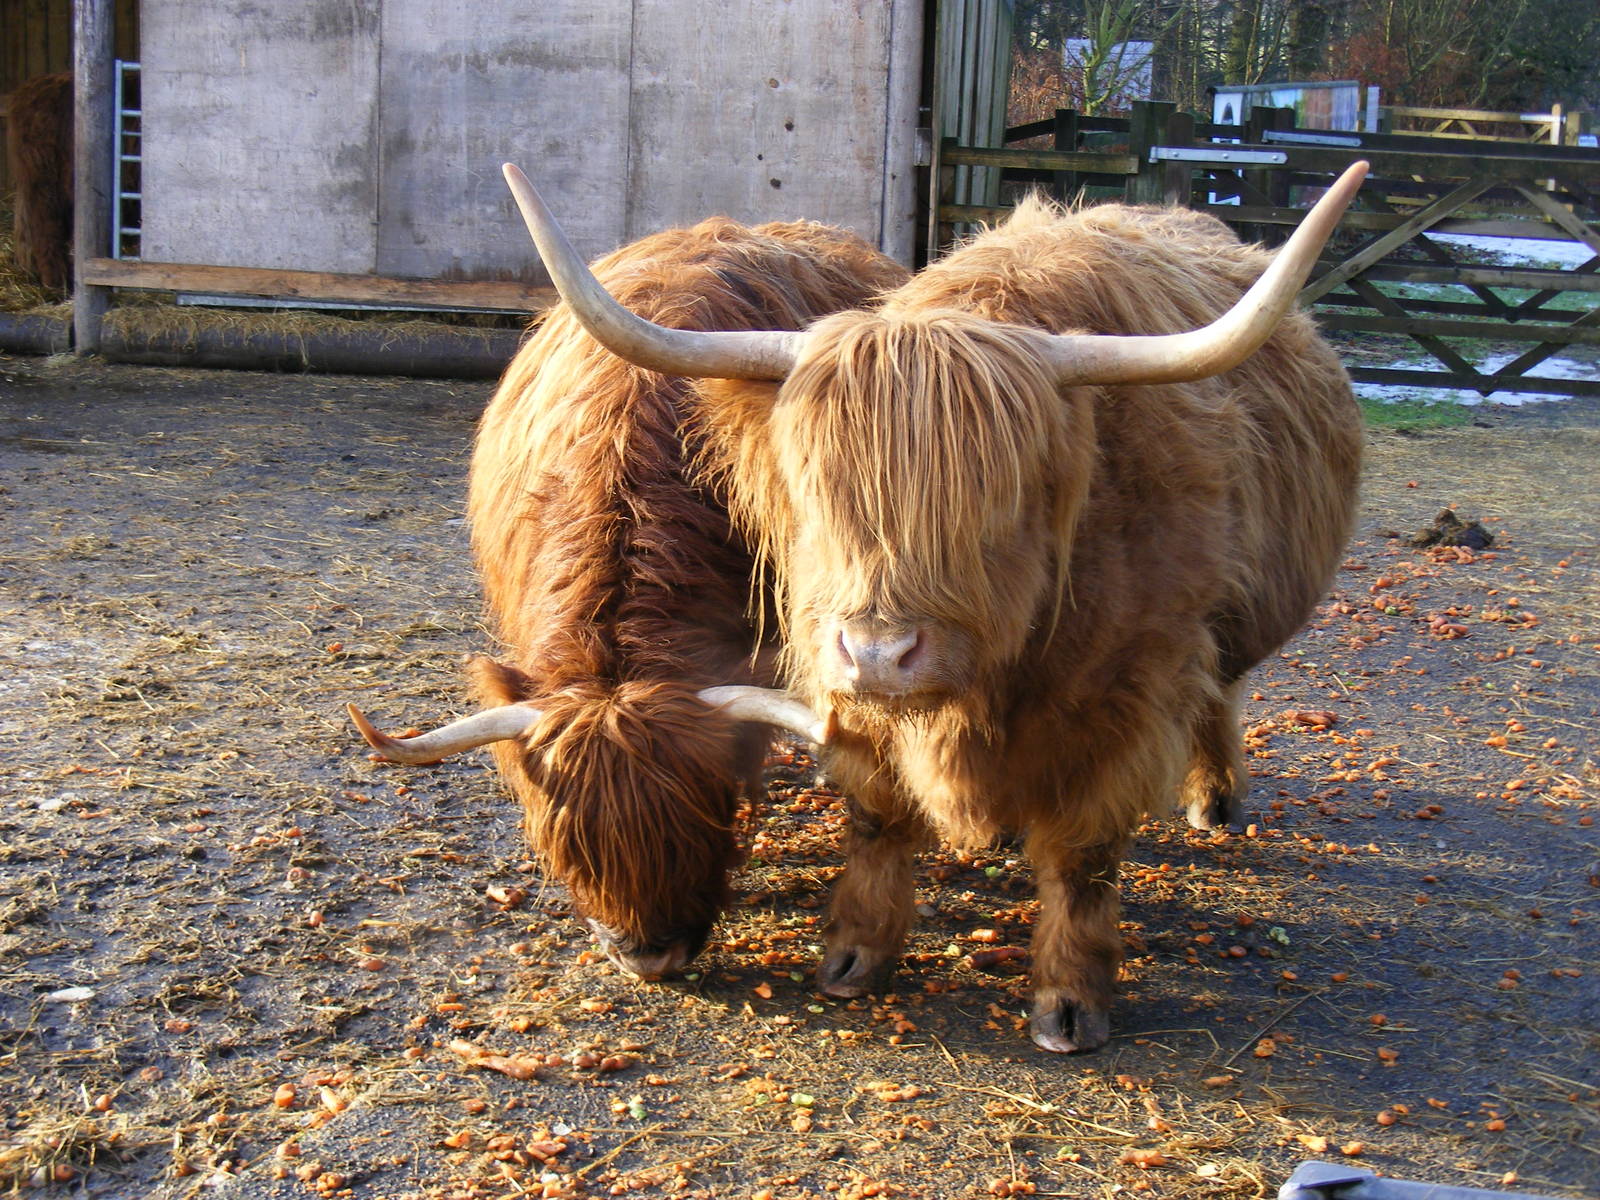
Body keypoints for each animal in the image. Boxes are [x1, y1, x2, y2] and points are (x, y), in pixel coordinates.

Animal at [499, 160, 1368, 1051]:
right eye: (813, 498)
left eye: (998, 505)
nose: (880, 653)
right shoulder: (847, 692)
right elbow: (879, 816)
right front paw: (853, 956)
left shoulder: (1129, 691)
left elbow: (1084, 852)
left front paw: (1069, 1000)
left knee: (1224, 688)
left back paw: (1214, 799)